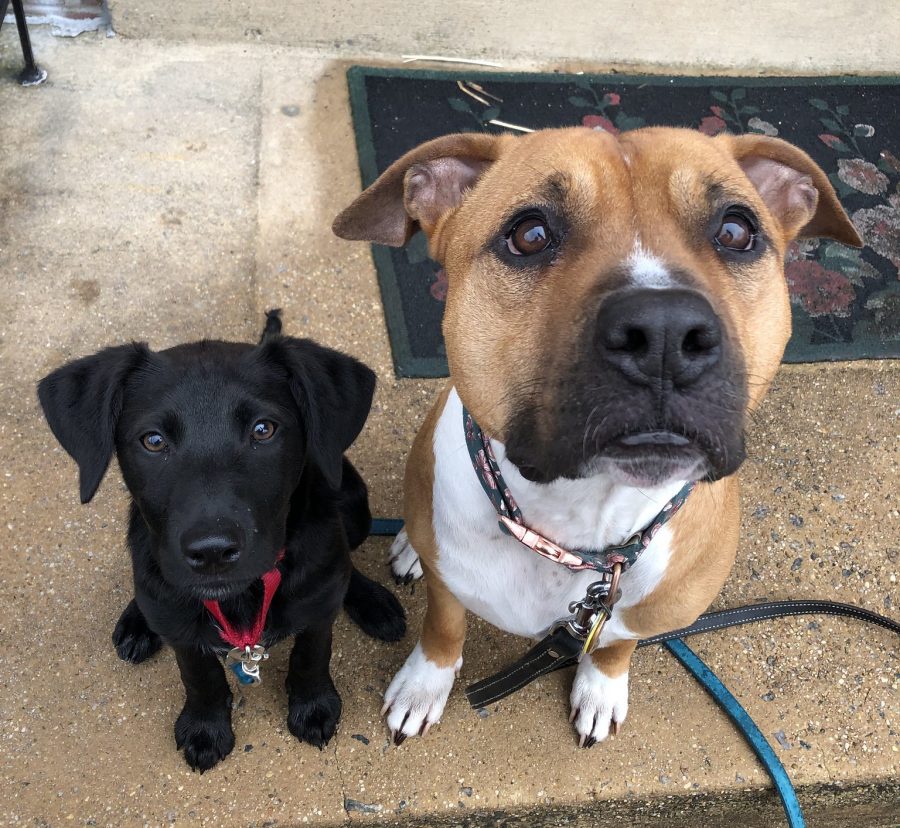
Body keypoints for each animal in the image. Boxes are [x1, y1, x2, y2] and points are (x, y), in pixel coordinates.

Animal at [38, 310, 404, 768]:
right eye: (153, 440)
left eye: (263, 430)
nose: (212, 552)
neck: (243, 598)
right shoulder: (180, 625)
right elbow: (199, 674)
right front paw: (205, 726)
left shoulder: (319, 608)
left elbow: (312, 653)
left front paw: (314, 706)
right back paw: (137, 621)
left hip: (355, 503)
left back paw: (374, 601)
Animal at [334, 126, 860, 748]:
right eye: (530, 234)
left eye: (736, 231)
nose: (663, 333)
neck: (578, 527)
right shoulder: (449, 589)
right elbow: (443, 628)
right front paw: (423, 685)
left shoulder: (644, 612)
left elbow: (616, 644)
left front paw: (601, 688)